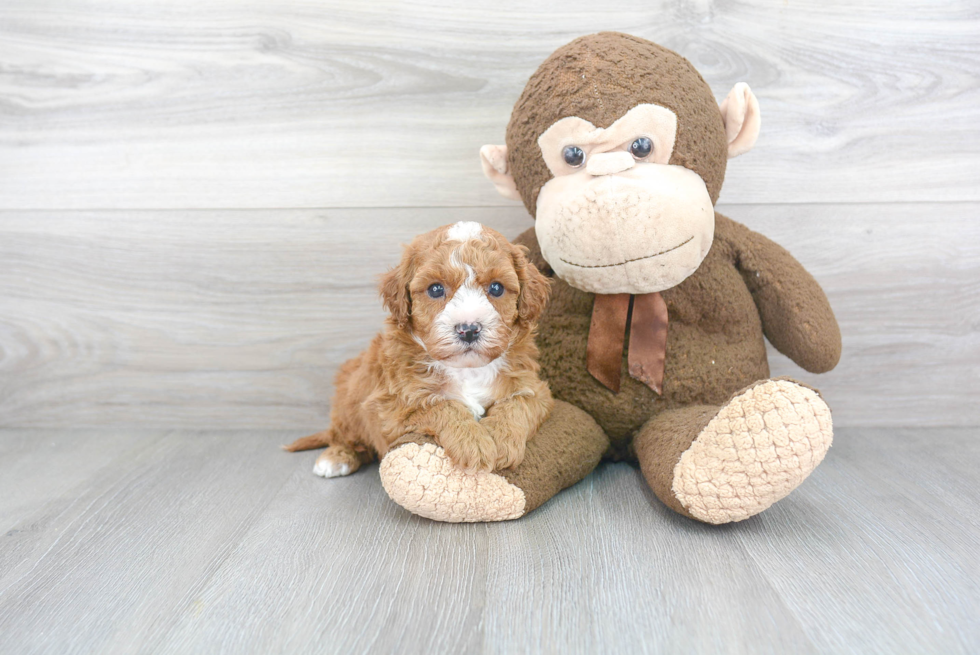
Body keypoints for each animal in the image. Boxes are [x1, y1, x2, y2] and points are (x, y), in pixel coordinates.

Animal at [288, 220, 556, 476]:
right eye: (435, 289)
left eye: (497, 288)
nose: (468, 329)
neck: (467, 370)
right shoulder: (394, 407)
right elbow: (442, 406)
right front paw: (474, 444)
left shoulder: (535, 389)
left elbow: (518, 404)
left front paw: (502, 440)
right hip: (349, 399)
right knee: (344, 436)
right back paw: (335, 458)